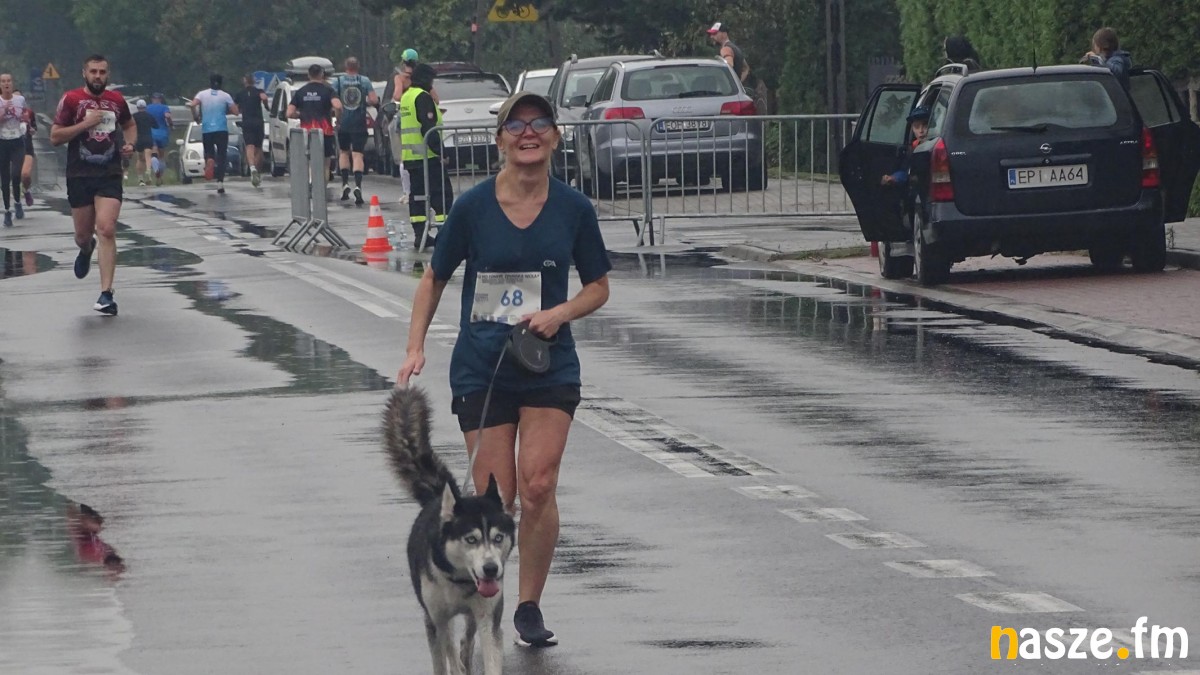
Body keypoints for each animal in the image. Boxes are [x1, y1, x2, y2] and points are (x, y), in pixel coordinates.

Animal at [383, 387, 515, 675]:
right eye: (471, 539)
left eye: (498, 537)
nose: (491, 569)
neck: (461, 579)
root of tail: (436, 498)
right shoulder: (438, 618)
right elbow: (447, 654)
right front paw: (454, 665)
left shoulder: (488, 615)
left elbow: (488, 653)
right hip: (432, 619)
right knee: (442, 654)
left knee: (467, 640)